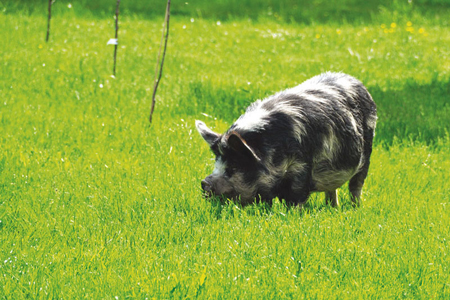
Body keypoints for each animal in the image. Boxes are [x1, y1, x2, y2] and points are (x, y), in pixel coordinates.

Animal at [196, 72, 376, 207]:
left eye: (233, 167)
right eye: (216, 163)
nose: (204, 182)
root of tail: (355, 80)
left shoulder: (302, 166)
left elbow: (296, 197)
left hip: (367, 151)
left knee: (356, 185)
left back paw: (355, 208)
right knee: (332, 188)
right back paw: (332, 208)